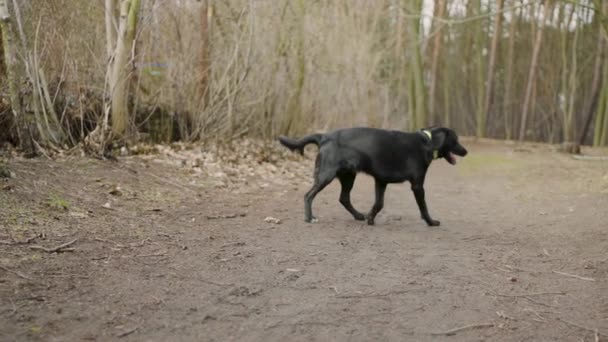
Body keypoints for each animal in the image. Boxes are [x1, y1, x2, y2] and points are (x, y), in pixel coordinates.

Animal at [278, 127, 468, 226]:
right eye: (456, 140)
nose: (466, 151)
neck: (427, 142)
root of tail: (325, 136)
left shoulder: (381, 181)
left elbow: (379, 203)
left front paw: (370, 218)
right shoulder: (417, 185)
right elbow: (423, 207)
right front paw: (431, 222)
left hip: (348, 176)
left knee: (344, 198)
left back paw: (358, 216)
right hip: (327, 175)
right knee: (308, 195)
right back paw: (309, 217)